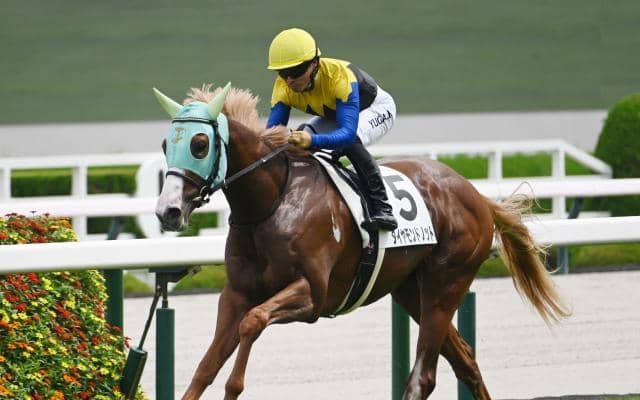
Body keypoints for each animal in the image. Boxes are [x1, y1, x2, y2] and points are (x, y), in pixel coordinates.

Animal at [152, 83, 570, 400]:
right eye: (165, 145)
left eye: (200, 144)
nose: (167, 211)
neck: (271, 201)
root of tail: (477, 196)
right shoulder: (236, 294)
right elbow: (205, 367)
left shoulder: (312, 295)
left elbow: (252, 324)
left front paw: (235, 386)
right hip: (410, 290)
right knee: (465, 361)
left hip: (447, 281)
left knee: (424, 377)